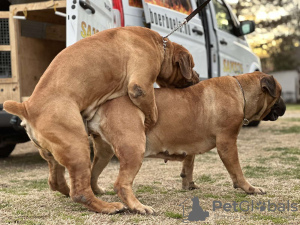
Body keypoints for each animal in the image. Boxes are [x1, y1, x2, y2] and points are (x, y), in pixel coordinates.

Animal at [3, 25, 199, 214]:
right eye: (192, 65)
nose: (197, 77)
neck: (159, 45)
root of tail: (27, 107)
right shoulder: (140, 86)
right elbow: (152, 110)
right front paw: (151, 121)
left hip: (54, 154)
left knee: (57, 181)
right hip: (77, 146)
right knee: (80, 192)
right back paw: (109, 207)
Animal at [87, 71, 286, 214]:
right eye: (280, 93)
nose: (285, 106)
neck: (241, 91)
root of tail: (101, 105)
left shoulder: (190, 144)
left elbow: (189, 165)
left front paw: (188, 184)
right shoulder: (227, 143)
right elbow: (237, 171)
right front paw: (249, 188)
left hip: (104, 153)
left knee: (92, 174)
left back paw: (98, 195)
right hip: (134, 149)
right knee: (121, 184)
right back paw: (138, 207)